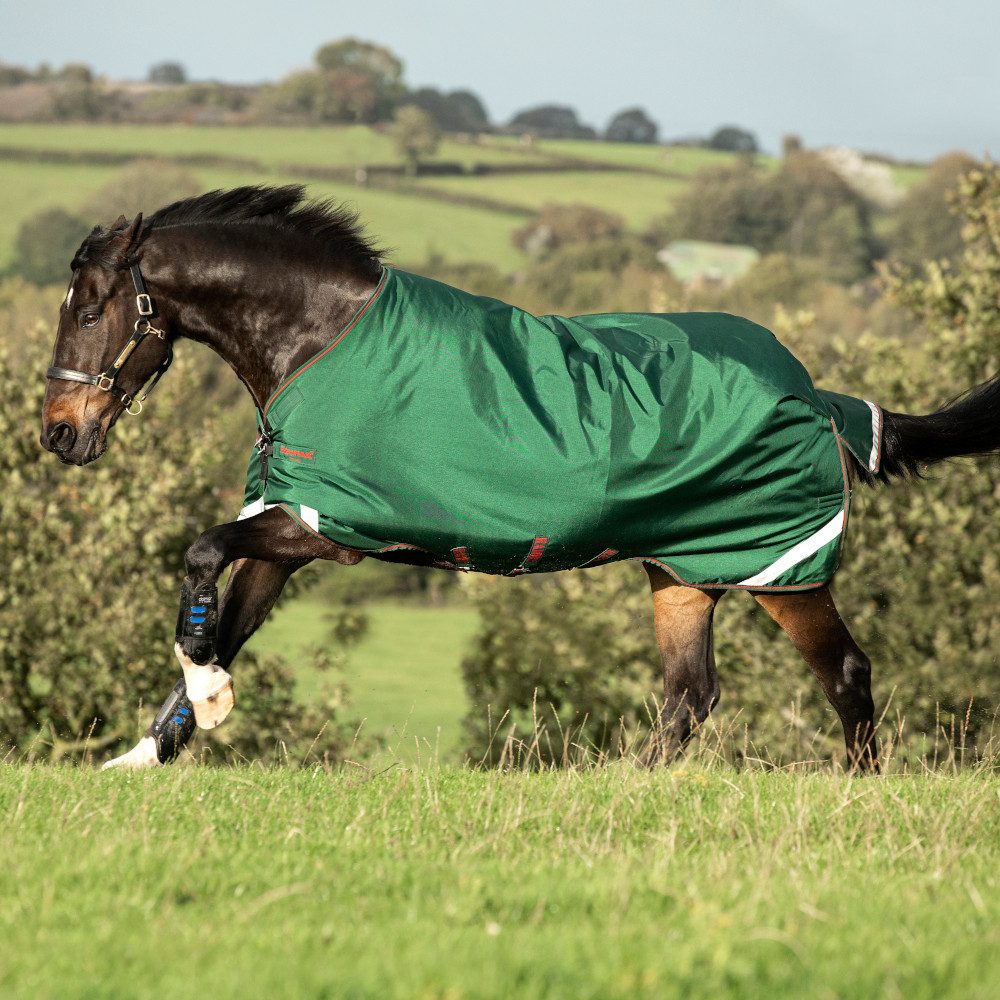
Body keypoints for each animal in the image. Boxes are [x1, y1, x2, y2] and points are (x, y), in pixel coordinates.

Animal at [39, 185, 1000, 772]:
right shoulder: (292, 529)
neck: (320, 339)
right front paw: (143, 754)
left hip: (781, 570)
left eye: (90, 310)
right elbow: (222, 625)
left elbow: (202, 556)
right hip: (682, 573)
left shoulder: (327, 530)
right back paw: (623, 787)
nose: (58, 433)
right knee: (690, 698)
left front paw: (208, 702)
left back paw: (857, 786)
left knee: (845, 674)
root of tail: (814, 393)